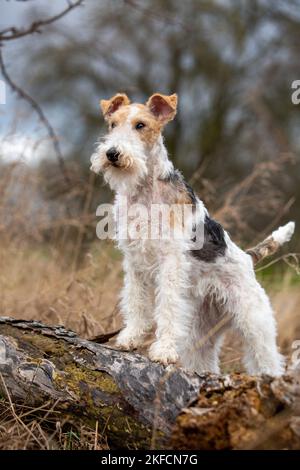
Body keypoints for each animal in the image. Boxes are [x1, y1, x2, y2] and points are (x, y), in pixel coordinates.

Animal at [90, 92, 294, 378]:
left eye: (140, 125)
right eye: (112, 124)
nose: (112, 153)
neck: (145, 189)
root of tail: (248, 257)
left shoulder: (171, 260)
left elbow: (167, 306)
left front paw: (163, 351)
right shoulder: (134, 261)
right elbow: (136, 303)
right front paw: (130, 338)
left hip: (254, 320)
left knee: (266, 357)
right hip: (203, 327)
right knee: (205, 358)